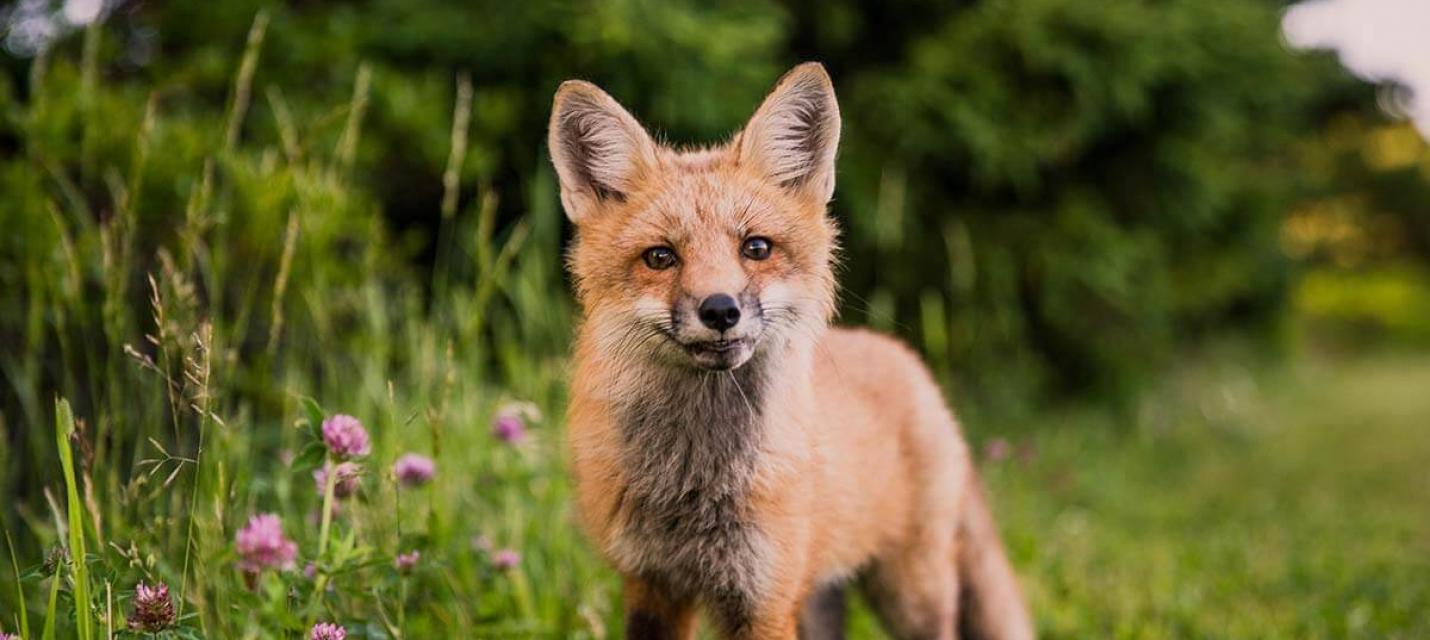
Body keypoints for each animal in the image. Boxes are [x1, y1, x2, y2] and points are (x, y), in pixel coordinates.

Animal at [551, 61, 1035, 640]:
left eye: (756, 247)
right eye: (660, 257)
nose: (720, 310)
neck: (696, 484)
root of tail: (905, 357)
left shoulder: (763, 598)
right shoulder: (652, 586)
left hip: (910, 594)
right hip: (821, 598)